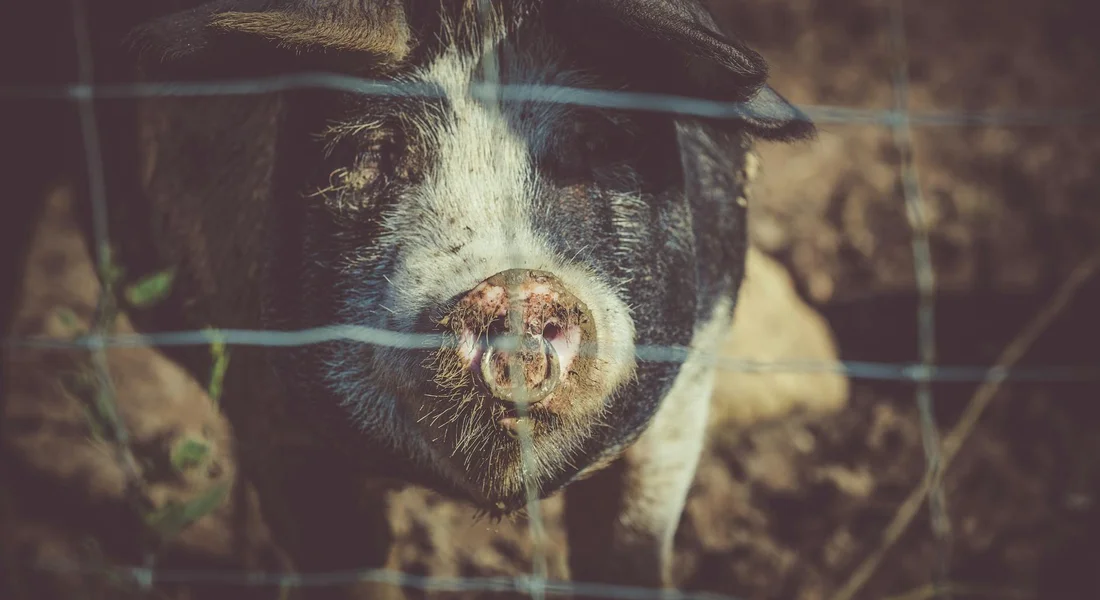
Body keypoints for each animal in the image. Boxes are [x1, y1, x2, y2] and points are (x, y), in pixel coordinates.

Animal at [3, 0, 815, 592]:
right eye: (374, 154)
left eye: (592, 143)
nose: (513, 284)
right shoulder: (273, 416)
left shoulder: (685, 397)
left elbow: (629, 558)